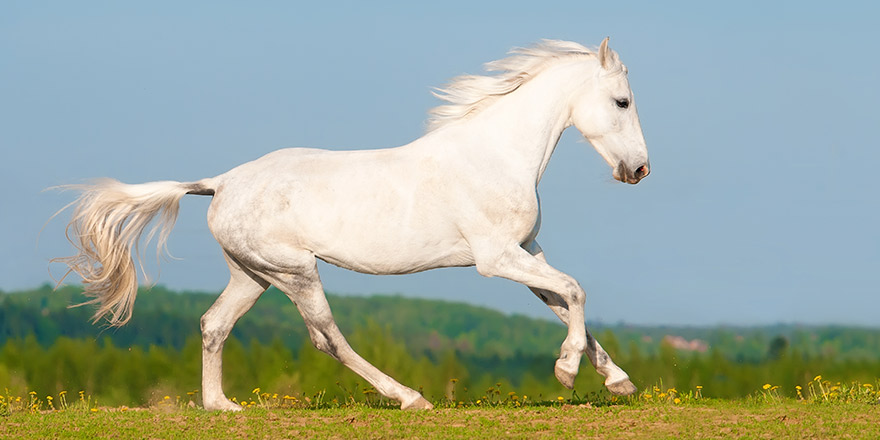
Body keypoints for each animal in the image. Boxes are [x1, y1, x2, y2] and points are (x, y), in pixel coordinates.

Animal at [53, 37, 648, 410]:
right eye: (622, 101)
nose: (639, 170)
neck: (495, 156)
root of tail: (220, 183)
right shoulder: (495, 258)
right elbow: (575, 291)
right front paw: (567, 373)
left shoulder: (528, 251)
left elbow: (566, 301)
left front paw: (617, 381)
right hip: (295, 272)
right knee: (327, 339)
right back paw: (409, 397)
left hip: (252, 275)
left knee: (214, 324)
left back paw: (222, 406)